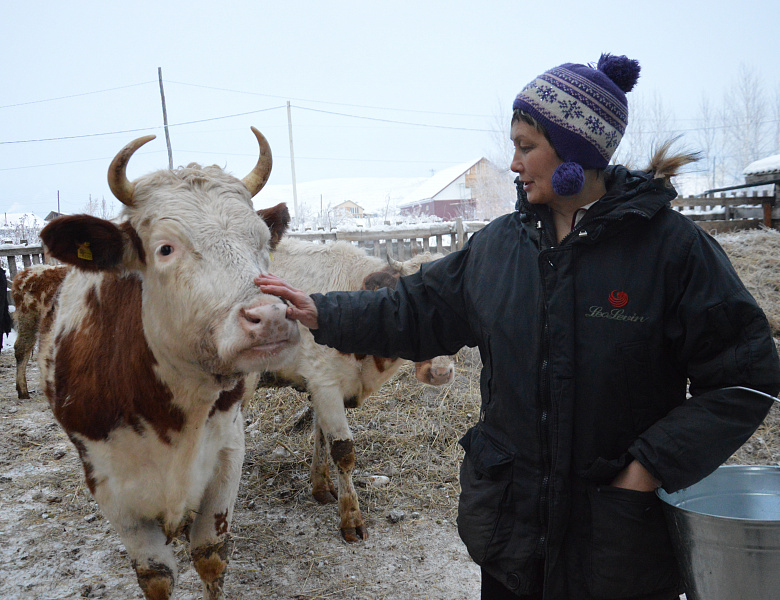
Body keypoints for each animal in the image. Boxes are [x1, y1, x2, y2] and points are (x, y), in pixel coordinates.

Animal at [35, 127, 302, 600]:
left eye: (261, 242)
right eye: (165, 248)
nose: (270, 316)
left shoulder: (225, 459)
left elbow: (210, 555)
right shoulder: (110, 489)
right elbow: (156, 575)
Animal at [250, 239, 458, 544]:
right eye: (408, 301)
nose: (440, 373)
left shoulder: (319, 386)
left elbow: (321, 437)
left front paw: (321, 487)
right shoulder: (325, 382)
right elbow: (343, 452)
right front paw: (351, 518)